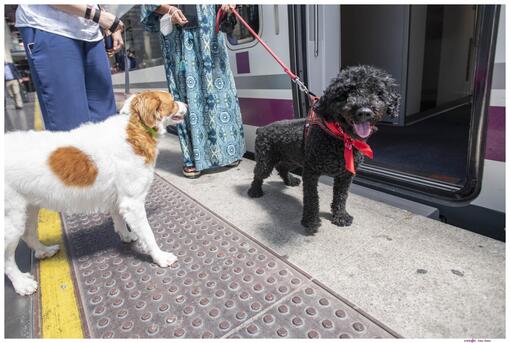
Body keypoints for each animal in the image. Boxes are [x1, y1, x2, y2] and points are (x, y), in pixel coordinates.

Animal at [4, 90, 187, 296]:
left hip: (28, 208)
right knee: (7, 259)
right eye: (172, 100)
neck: (135, 126)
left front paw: (126, 236)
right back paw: (21, 283)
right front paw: (160, 257)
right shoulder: (132, 203)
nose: (187, 104)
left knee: (28, 234)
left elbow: (119, 220)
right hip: (11, 219)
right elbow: (148, 234)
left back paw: (44, 251)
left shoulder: (119, 201)